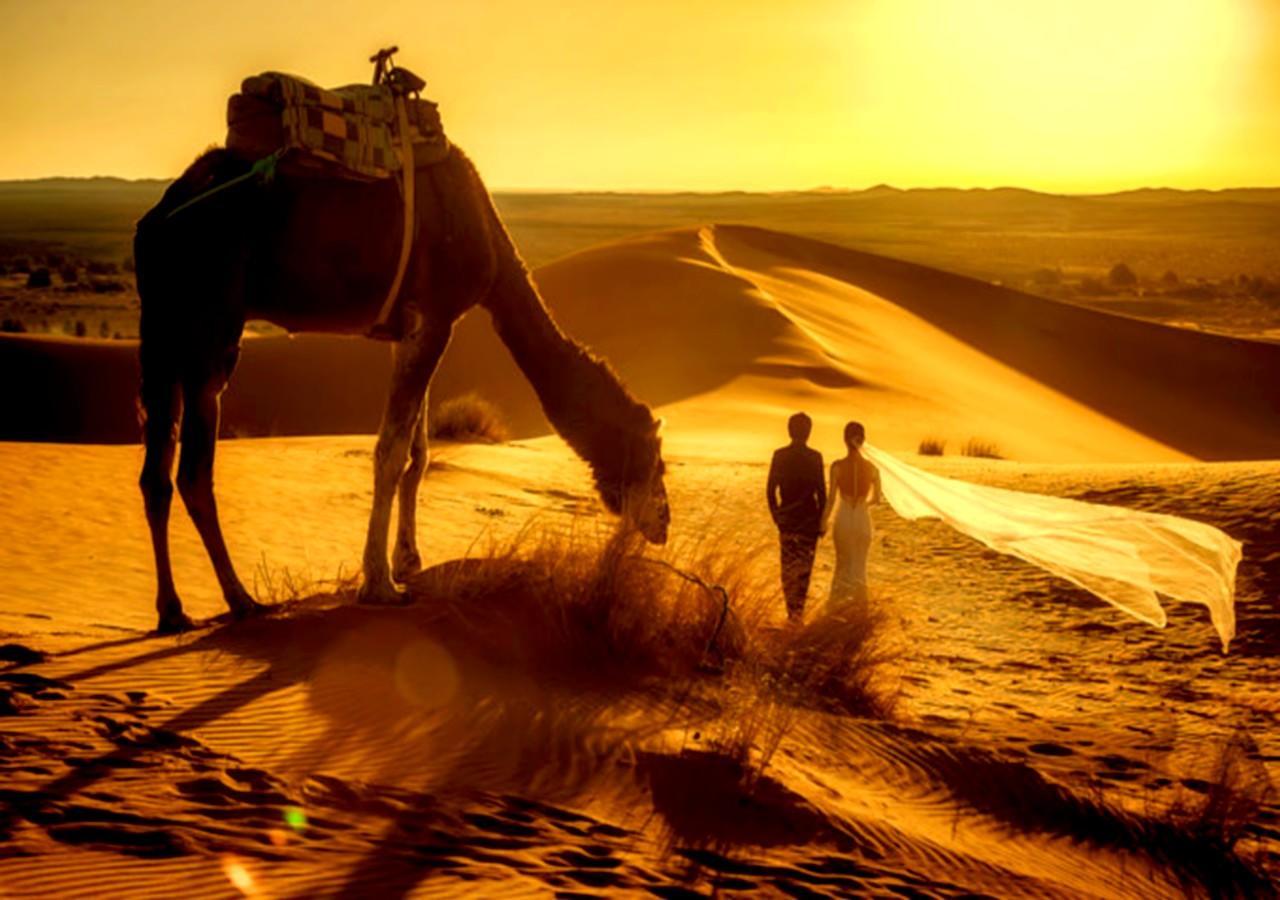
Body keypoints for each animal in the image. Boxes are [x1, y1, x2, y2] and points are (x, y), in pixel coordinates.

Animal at [132, 144, 670, 634]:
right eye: (651, 454)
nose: (662, 521)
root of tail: (156, 221)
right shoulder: (434, 318)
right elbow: (391, 451)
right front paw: (380, 585)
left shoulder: (411, 328)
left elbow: (419, 452)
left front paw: (408, 558)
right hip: (210, 324)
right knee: (194, 469)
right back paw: (241, 600)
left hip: (162, 332)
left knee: (156, 473)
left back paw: (173, 610)